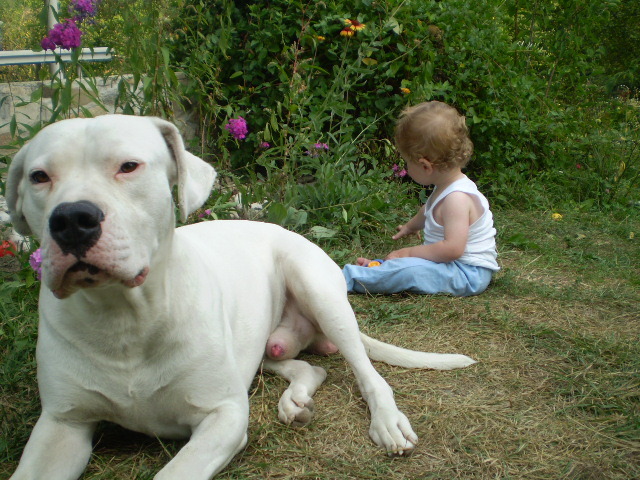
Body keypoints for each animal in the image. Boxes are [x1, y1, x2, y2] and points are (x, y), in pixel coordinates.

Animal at [5, 114, 476, 478]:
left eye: (128, 166)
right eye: (39, 176)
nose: (71, 219)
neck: (125, 319)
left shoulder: (223, 417)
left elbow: (174, 470)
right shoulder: (62, 426)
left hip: (319, 292)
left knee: (368, 373)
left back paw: (386, 421)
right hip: (265, 345)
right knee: (308, 367)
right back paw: (296, 400)